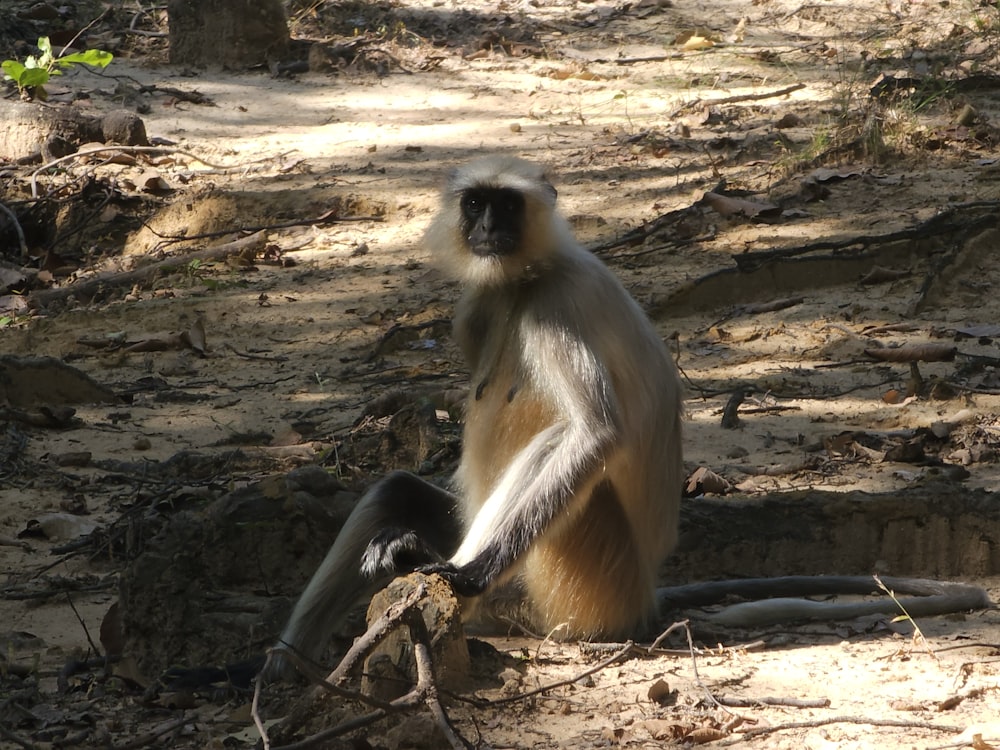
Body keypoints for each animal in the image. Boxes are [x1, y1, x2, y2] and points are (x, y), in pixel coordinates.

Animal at [266, 156, 992, 680]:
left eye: (508, 203)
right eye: (476, 202)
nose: (488, 227)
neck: (523, 280)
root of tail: (646, 594)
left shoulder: (554, 307)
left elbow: (596, 434)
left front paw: (468, 573)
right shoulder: (476, 307)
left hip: (590, 579)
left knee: (562, 443)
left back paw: (460, 583)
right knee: (394, 491)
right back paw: (285, 668)